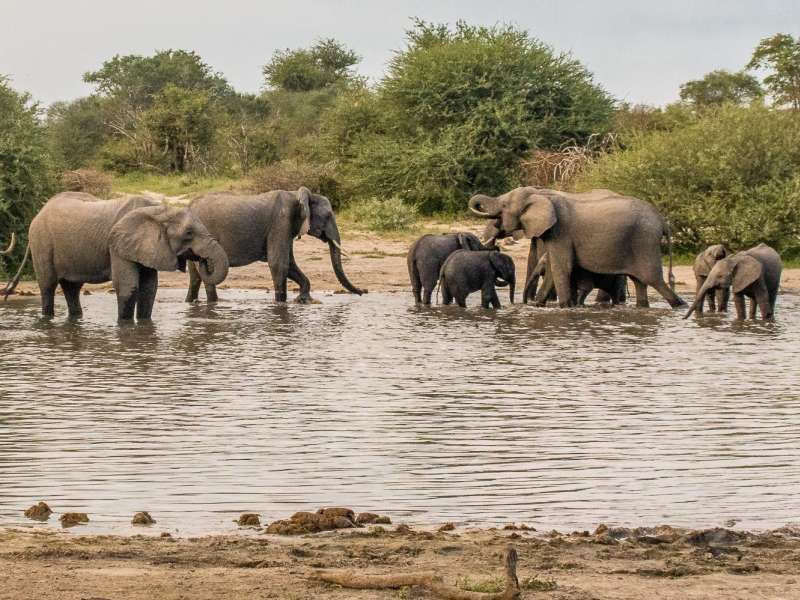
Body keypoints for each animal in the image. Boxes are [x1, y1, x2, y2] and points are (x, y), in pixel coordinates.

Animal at [2, 192, 228, 320]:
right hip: (41, 242)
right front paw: (125, 326)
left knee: (72, 288)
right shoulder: (118, 244)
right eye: (189, 234)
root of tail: (38, 213)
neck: (159, 210)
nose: (203, 261)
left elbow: (149, 289)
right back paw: (47, 319)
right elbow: (129, 287)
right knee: (48, 286)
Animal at [186, 187, 364, 303]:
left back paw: (192, 301)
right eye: (327, 216)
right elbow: (279, 263)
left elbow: (290, 264)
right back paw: (213, 303)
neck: (299, 195)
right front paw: (280, 304)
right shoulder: (281, 222)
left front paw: (304, 300)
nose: (364, 292)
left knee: (195, 275)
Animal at [469, 187, 685, 308]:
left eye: (504, 205)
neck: (542, 195)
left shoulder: (560, 232)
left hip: (644, 241)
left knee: (653, 279)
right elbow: (554, 267)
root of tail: (662, 221)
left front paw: (563, 307)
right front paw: (541, 305)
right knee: (640, 282)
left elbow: (561, 267)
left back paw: (680, 306)